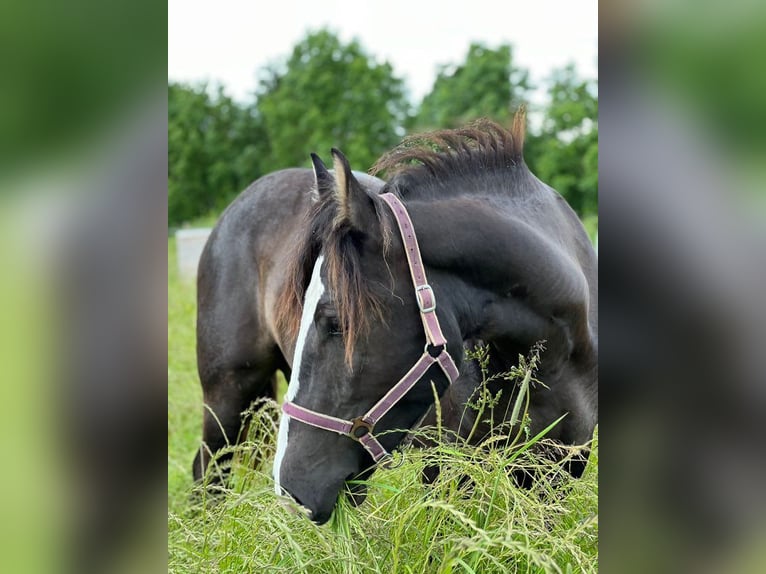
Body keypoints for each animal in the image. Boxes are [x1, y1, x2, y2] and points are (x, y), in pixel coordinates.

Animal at [194, 117, 600, 528]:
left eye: (335, 321)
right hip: (226, 396)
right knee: (208, 475)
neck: (551, 357)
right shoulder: (446, 472)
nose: (290, 489)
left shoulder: (556, 475)